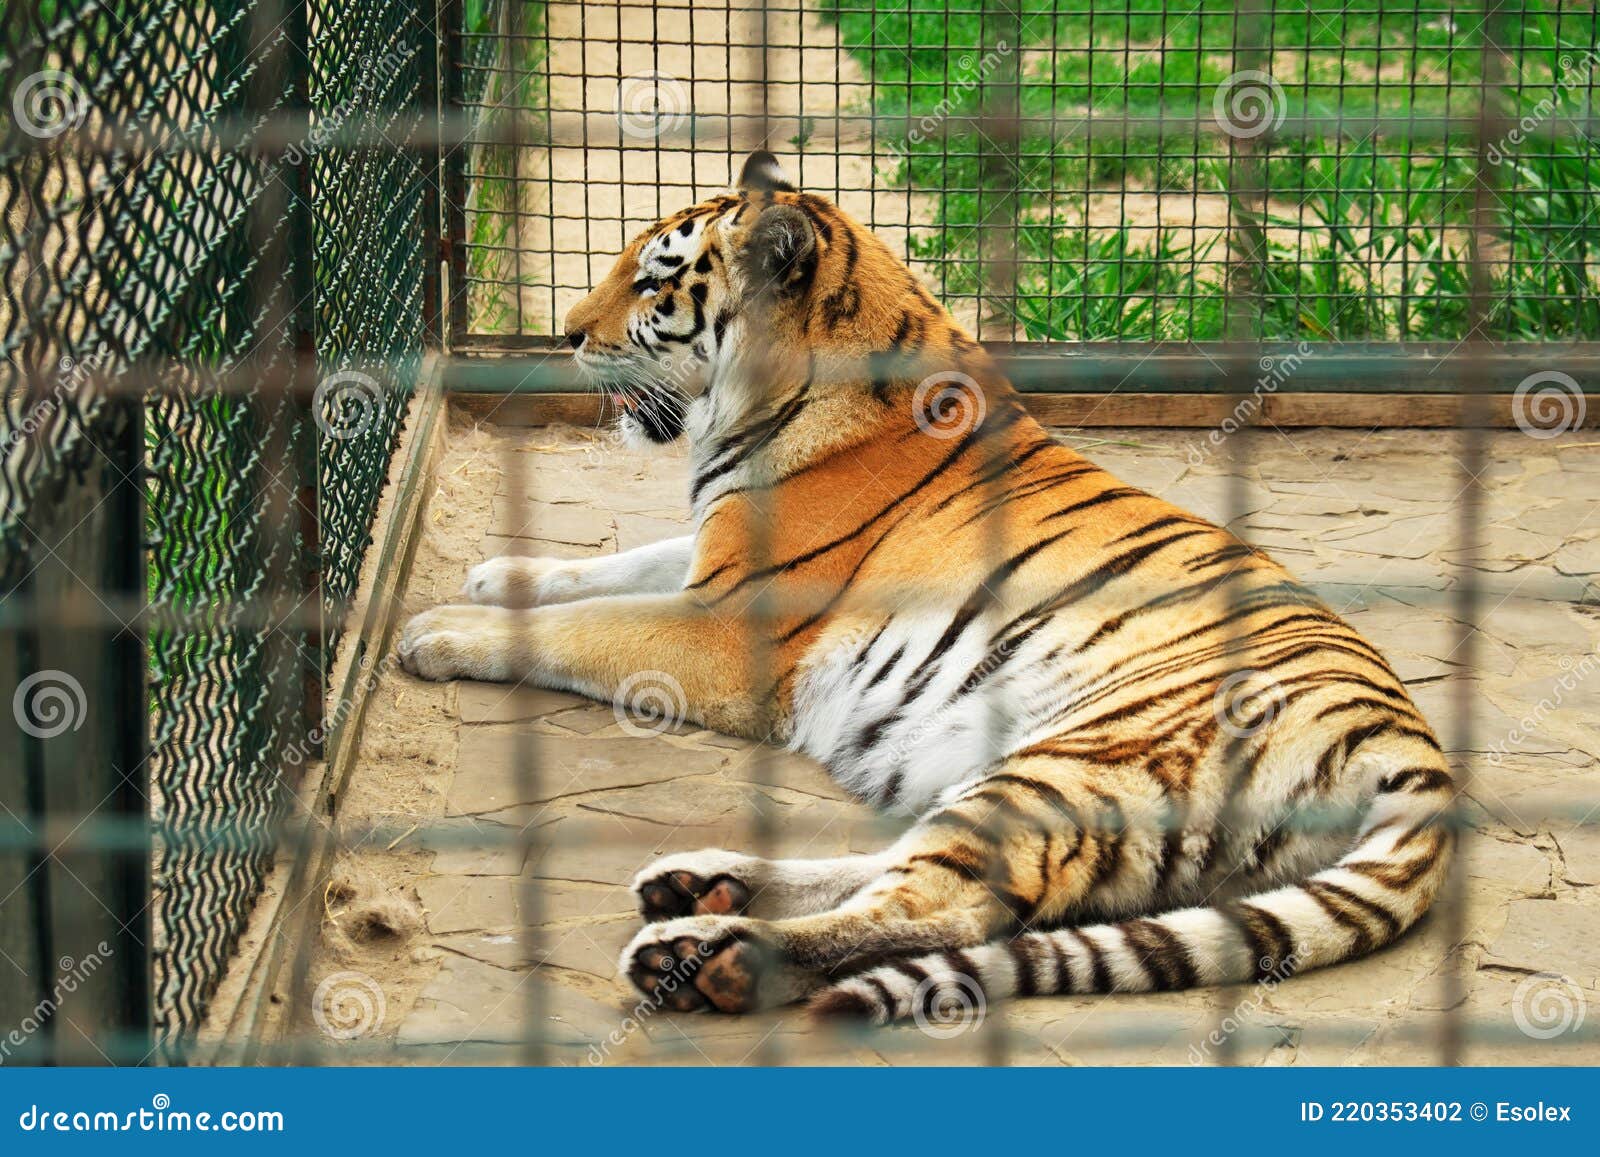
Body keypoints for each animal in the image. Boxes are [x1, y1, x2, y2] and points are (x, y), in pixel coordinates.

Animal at [398, 151, 1454, 1025]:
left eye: (656, 278)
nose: (567, 333)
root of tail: (1410, 746)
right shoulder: (716, 558)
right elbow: (612, 568)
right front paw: (497, 574)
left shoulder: (729, 625)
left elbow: (591, 623)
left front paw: (438, 630)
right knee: (919, 872)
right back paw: (700, 886)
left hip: (1076, 760)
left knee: (946, 901)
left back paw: (708, 951)